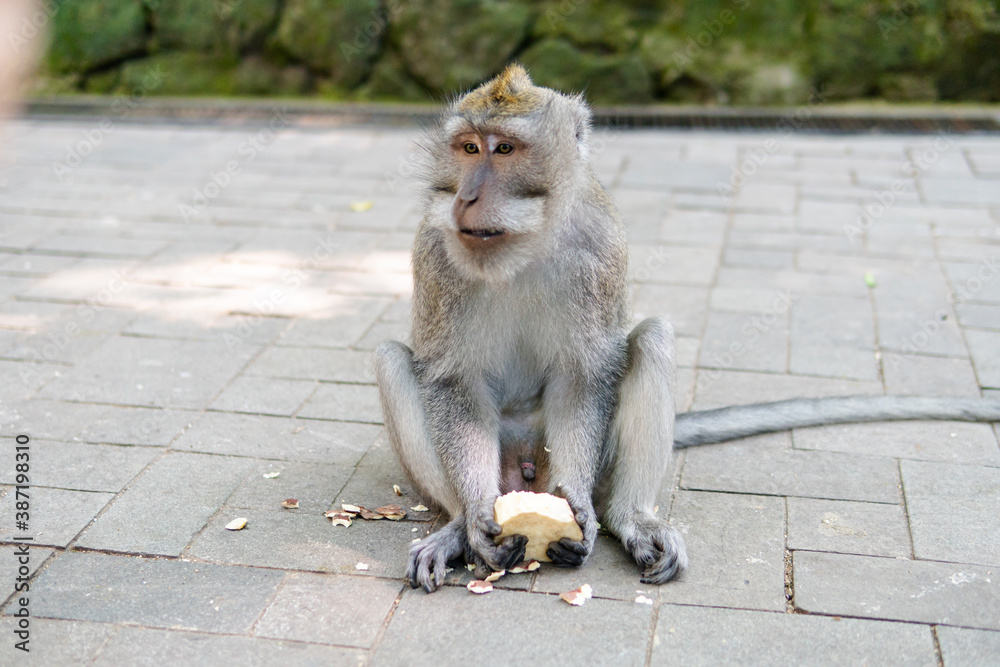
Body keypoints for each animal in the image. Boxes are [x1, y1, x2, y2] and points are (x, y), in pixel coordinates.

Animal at [373, 64, 1000, 594]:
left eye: (504, 149)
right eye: (468, 148)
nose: (467, 196)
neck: (522, 246)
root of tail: (525, 465)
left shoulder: (601, 248)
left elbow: (585, 377)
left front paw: (578, 508)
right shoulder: (435, 250)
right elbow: (451, 380)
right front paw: (477, 519)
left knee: (651, 340)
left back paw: (629, 519)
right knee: (391, 359)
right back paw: (455, 529)